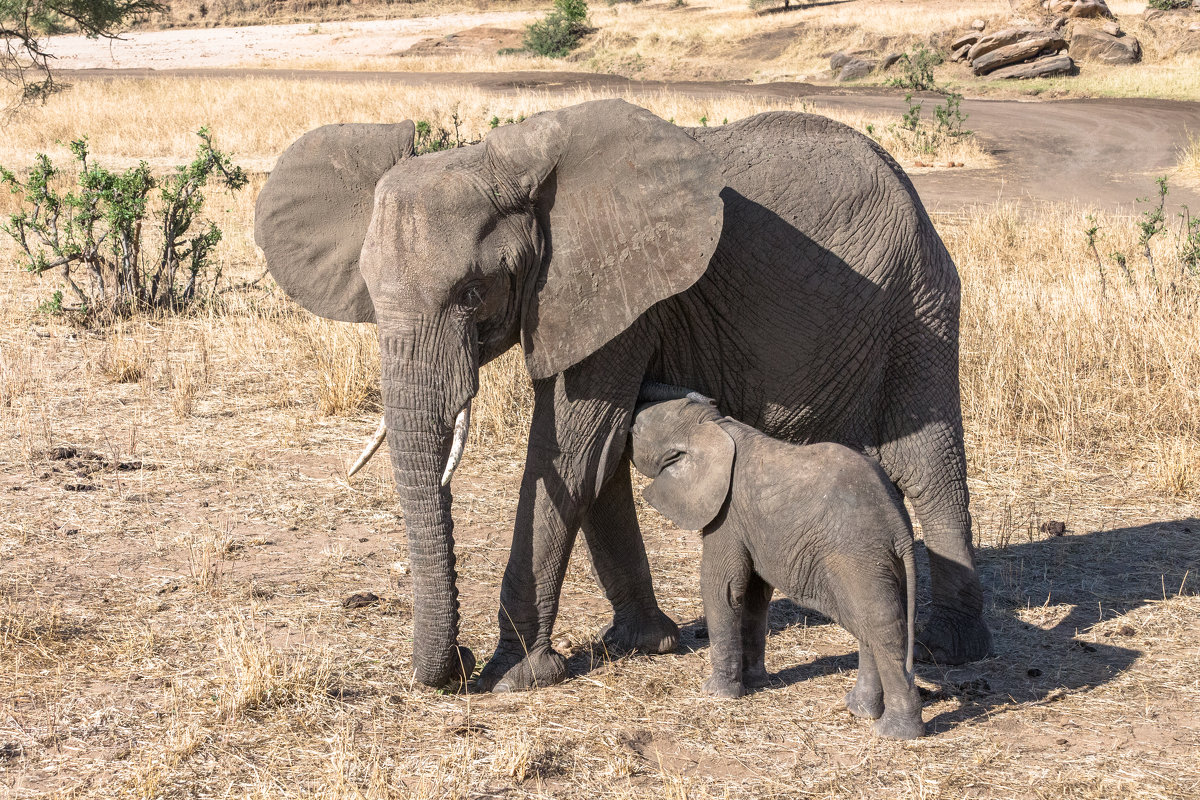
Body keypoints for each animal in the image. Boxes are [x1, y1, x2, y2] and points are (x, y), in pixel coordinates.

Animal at [255, 98, 993, 690]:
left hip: (917, 304)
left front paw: (516, 676)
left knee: (928, 465)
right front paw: (646, 643)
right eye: (369, 291)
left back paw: (948, 651)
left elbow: (575, 446)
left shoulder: (617, 287)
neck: (513, 169)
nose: (458, 661)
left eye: (470, 293)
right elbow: (599, 458)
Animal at [633, 398, 921, 743]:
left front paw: (716, 694)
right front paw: (756, 683)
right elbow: (754, 593)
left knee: (881, 625)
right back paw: (859, 709)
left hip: (858, 556)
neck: (713, 425)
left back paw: (896, 733)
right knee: (866, 622)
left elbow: (722, 587)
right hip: (877, 562)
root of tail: (900, 527)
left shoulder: (727, 513)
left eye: (635, 431)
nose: (629, 425)